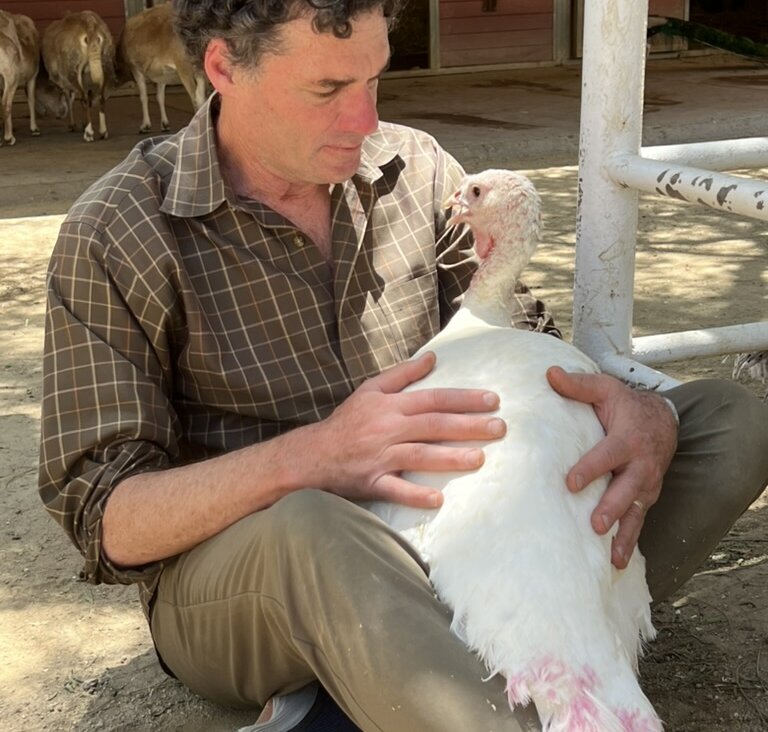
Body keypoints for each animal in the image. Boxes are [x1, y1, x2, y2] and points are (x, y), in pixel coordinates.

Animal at [0, 10, 40, 146]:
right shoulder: (32, 76)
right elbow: (31, 99)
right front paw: (34, 129)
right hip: (11, 79)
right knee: (6, 103)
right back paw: (9, 138)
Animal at [41, 11, 115, 142]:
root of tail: (90, 25)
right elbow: (86, 99)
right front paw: (83, 123)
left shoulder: (64, 81)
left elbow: (70, 99)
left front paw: (73, 125)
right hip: (106, 61)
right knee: (100, 97)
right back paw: (103, 132)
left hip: (73, 67)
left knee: (84, 98)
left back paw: (89, 134)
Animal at [118, 2, 207, 133]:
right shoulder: (162, 74)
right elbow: (160, 97)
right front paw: (165, 124)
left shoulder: (135, 68)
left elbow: (143, 96)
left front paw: (145, 125)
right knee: (202, 96)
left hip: (184, 65)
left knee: (195, 97)